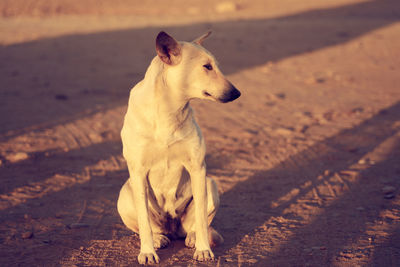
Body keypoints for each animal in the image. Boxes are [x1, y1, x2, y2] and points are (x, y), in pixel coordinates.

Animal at [115, 30, 241, 264]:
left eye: (215, 66)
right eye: (207, 67)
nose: (237, 93)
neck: (168, 111)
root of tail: (172, 229)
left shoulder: (198, 169)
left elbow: (201, 217)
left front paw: (203, 250)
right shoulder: (138, 172)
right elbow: (144, 223)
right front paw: (147, 252)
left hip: (210, 184)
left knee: (197, 225)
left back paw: (192, 238)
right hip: (125, 194)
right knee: (147, 227)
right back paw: (157, 239)